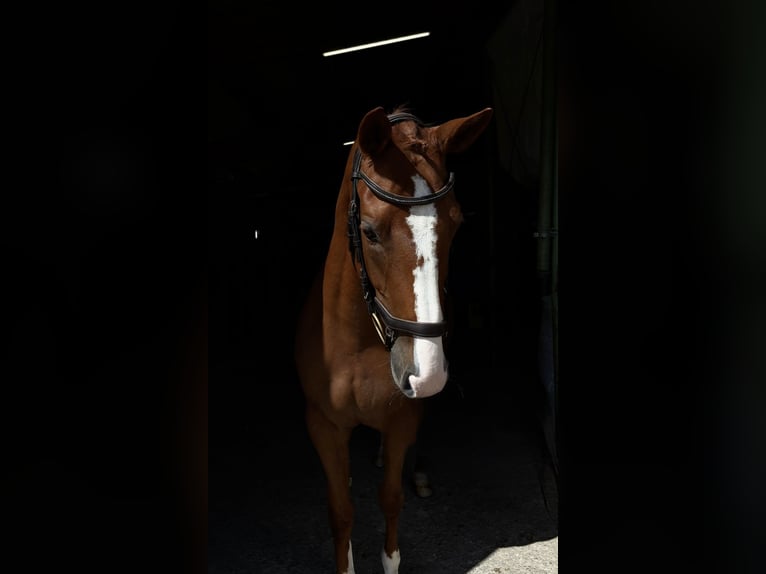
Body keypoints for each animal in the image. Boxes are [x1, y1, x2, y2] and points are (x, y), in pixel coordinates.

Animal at [294, 105, 493, 574]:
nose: (426, 373)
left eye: (456, 224)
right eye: (368, 231)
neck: (358, 345)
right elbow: (341, 510)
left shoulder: (403, 419)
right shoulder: (323, 425)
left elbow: (390, 499)